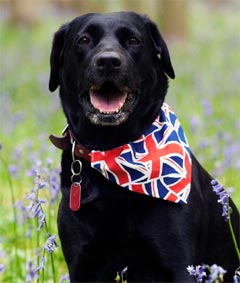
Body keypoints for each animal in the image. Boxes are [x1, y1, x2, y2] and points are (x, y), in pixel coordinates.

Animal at [49, 12, 240, 282]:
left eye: (133, 40)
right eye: (84, 39)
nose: (108, 61)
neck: (114, 152)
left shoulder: (176, 264)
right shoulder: (83, 264)